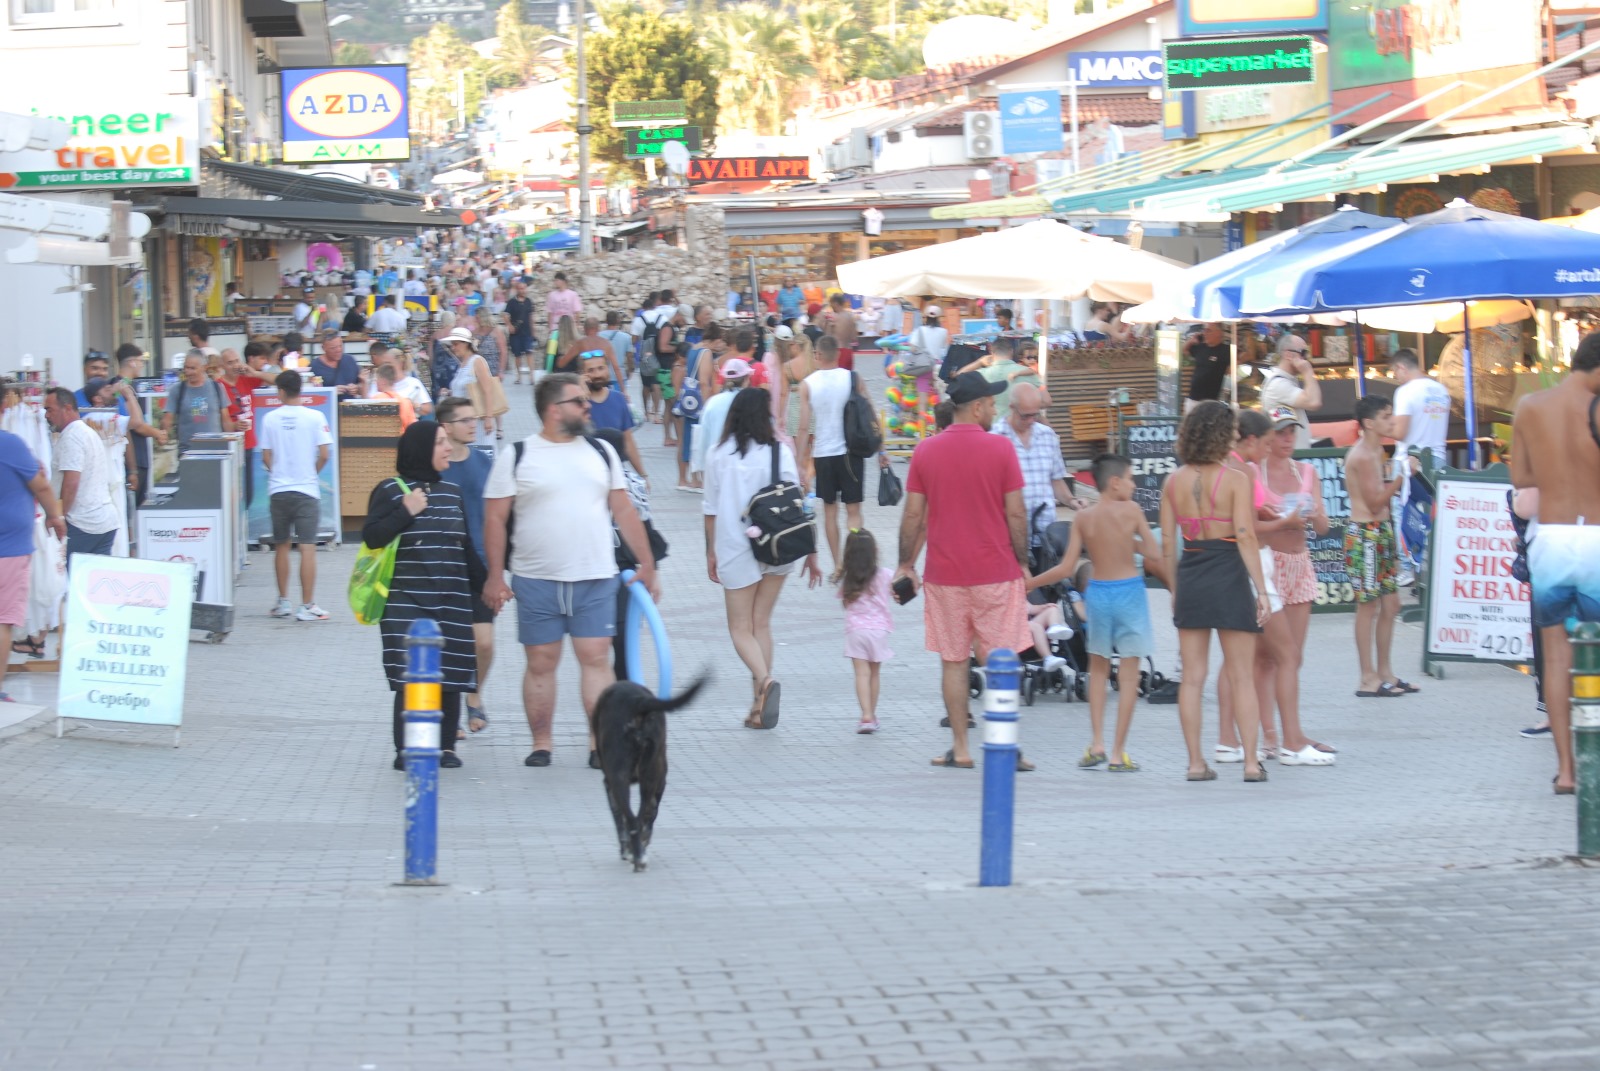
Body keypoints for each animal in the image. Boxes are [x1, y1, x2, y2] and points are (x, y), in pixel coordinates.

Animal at [595, 675, 707, 870]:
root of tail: (637, 702)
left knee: (634, 819)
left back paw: (637, 855)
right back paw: (639, 854)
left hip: (625, 777)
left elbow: (619, 819)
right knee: (640, 818)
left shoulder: (608, 784)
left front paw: (626, 849)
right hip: (648, 777)